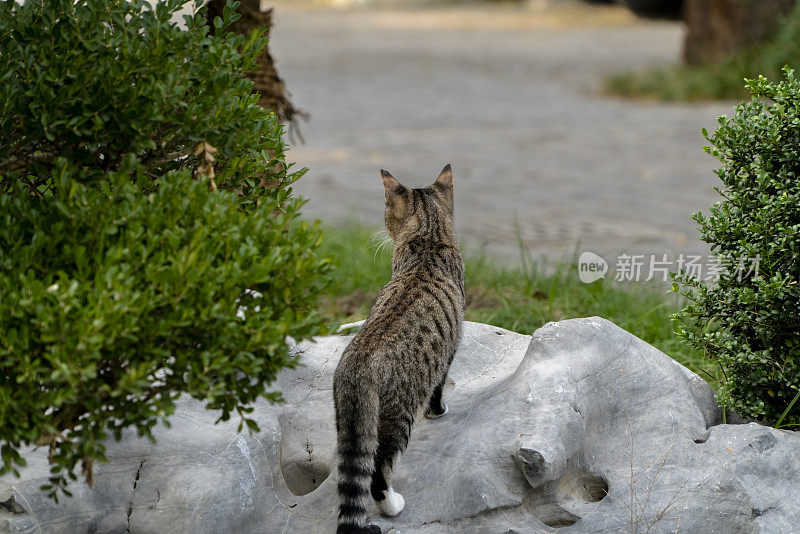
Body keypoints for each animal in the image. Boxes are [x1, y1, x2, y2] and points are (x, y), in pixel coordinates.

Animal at [332, 165, 466, 532]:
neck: (429, 236)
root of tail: (359, 367)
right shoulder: (449, 349)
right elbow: (439, 386)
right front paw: (439, 411)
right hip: (398, 414)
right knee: (379, 470)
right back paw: (392, 504)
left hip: (348, 420)